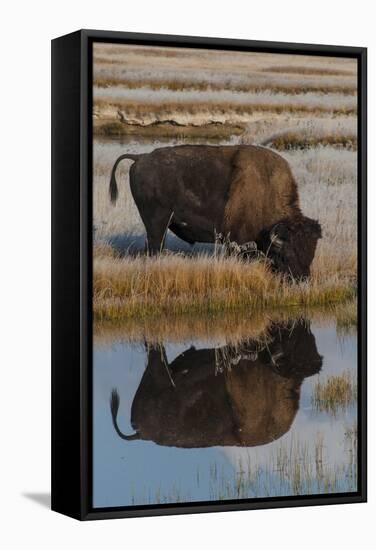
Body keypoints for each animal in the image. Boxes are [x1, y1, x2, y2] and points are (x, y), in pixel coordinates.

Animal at [108, 146, 320, 280]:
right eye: (287, 254)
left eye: (311, 253)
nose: (302, 279)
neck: (265, 190)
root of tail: (141, 157)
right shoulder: (238, 242)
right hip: (157, 223)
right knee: (154, 246)